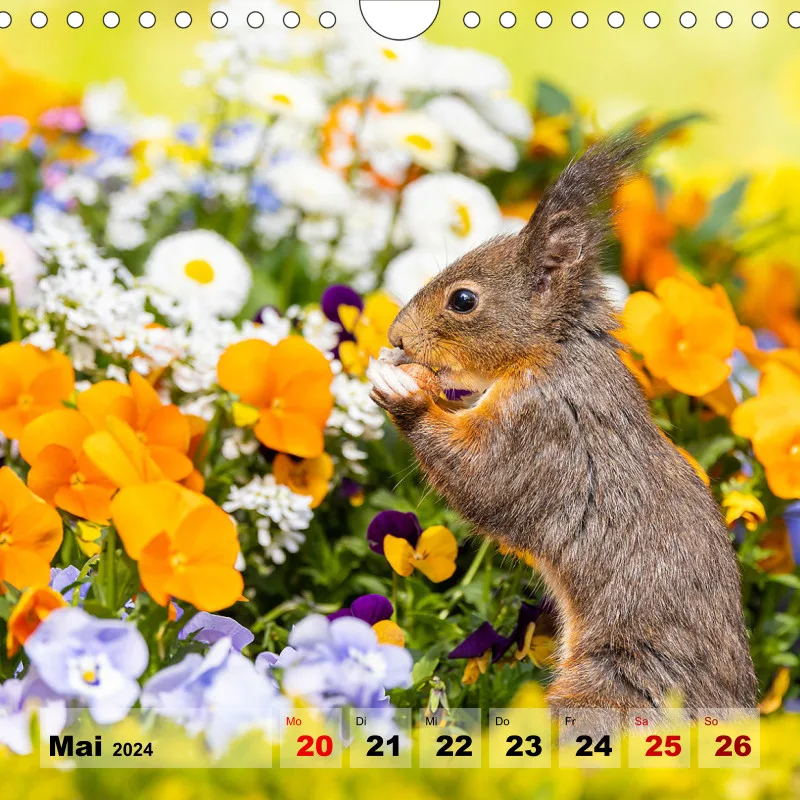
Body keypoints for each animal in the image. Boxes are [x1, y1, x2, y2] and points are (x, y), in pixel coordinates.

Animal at [367, 133, 757, 721]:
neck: (551, 351)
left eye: (463, 300)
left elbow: (482, 478)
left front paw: (405, 396)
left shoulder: (544, 431)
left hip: (613, 690)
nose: (396, 338)